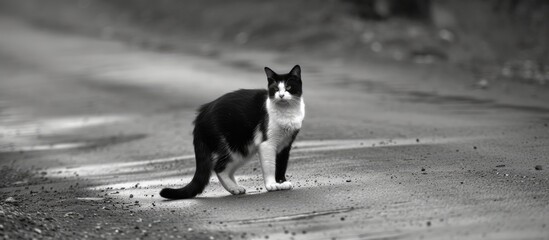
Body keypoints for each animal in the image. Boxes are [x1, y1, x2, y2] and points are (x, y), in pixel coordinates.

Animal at [158, 64, 304, 199]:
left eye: (289, 87)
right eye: (275, 89)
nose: (281, 95)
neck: (286, 112)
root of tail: (201, 114)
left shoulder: (285, 144)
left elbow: (281, 164)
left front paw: (281, 182)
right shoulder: (267, 143)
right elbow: (270, 165)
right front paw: (272, 185)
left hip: (243, 149)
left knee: (227, 170)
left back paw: (235, 188)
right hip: (234, 146)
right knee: (219, 168)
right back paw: (234, 188)